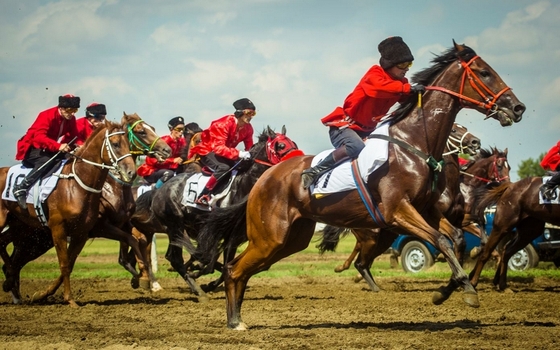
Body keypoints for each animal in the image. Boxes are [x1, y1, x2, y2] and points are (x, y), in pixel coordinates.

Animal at [129, 126, 302, 298]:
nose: (297, 159)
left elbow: (227, 263)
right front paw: (201, 276)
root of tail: (158, 192)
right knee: (173, 257)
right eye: (281, 145)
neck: (245, 185)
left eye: (293, 143)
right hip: (174, 225)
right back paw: (194, 289)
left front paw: (206, 281)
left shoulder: (237, 236)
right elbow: (218, 261)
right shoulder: (228, 235)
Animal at [199, 42, 528, 330]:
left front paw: (448, 289)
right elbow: (443, 241)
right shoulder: (399, 212)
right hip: (270, 237)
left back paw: (235, 317)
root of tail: (263, 179)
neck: (413, 145)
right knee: (234, 268)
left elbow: (456, 240)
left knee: (239, 269)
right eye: (484, 72)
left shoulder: (428, 212)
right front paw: (467, 291)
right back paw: (234, 320)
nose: (518, 107)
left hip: (290, 240)